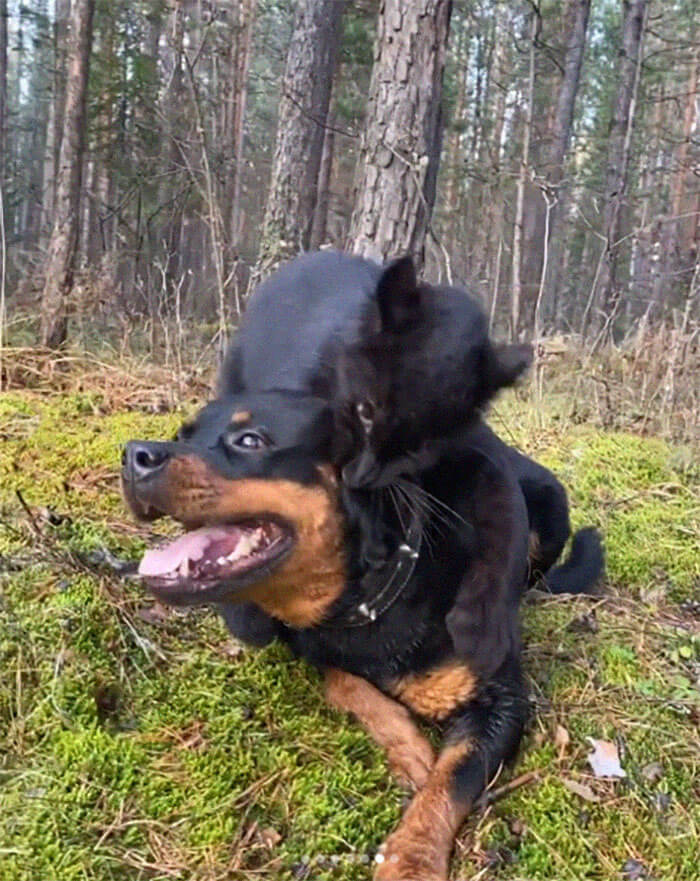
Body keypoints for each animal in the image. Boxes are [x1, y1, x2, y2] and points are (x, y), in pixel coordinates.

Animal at [123, 251, 604, 876]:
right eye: (183, 433)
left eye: (251, 441)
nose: (134, 455)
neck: (365, 603)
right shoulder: (311, 649)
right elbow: (348, 686)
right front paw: (407, 745)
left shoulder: (502, 702)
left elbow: (449, 784)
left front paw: (412, 857)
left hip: (549, 507)